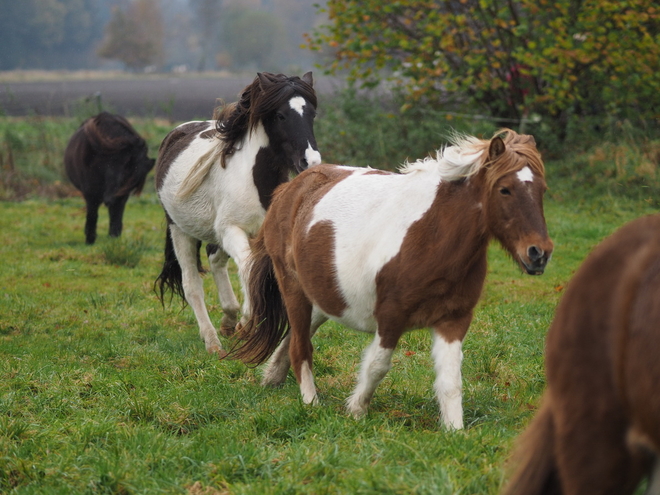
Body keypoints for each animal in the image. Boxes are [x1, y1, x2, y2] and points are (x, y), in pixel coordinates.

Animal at [65, 111, 156, 245]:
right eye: (121, 168)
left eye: (133, 180)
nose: (111, 199)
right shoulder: (90, 192)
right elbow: (92, 214)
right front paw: (90, 239)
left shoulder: (122, 196)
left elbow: (116, 217)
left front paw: (114, 239)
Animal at [155, 71, 320, 354]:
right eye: (280, 115)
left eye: (311, 113)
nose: (311, 162)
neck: (256, 181)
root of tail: (175, 133)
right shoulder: (232, 231)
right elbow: (248, 268)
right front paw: (247, 321)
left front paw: (242, 321)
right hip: (180, 230)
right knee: (192, 285)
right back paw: (212, 342)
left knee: (215, 260)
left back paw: (229, 320)